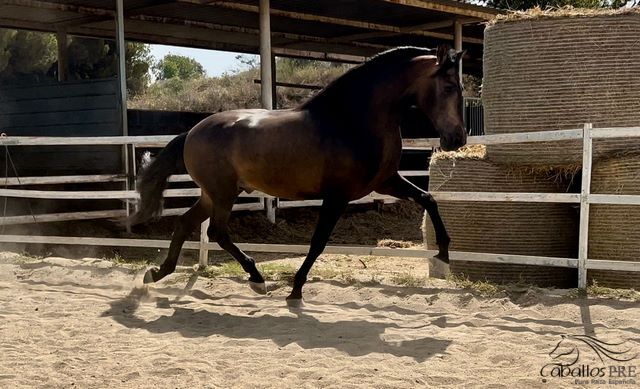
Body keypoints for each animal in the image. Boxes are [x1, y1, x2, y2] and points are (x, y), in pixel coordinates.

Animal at [132, 45, 468, 304]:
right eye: (449, 87)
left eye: (462, 88)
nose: (457, 139)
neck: (353, 120)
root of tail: (192, 131)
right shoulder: (338, 196)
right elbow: (318, 242)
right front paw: (295, 289)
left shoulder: (386, 182)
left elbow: (428, 198)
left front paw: (443, 256)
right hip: (223, 194)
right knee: (216, 232)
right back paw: (256, 279)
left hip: (213, 195)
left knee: (185, 223)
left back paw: (157, 273)